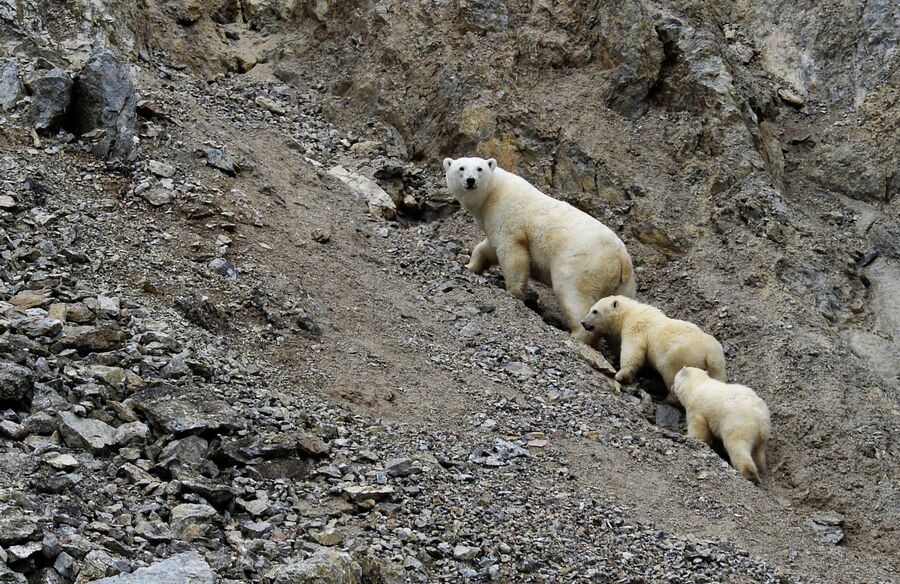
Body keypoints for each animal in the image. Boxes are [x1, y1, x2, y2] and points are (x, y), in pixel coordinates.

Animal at [442, 155, 632, 342]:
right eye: (461, 167)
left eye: (479, 168)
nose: (471, 180)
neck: (493, 192)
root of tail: (621, 257)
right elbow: (488, 248)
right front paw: (470, 265)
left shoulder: (508, 216)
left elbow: (512, 253)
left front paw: (514, 291)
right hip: (623, 284)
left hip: (582, 264)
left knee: (574, 295)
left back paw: (577, 333)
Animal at [580, 294, 728, 394]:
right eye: (591, 309)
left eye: (594, 311)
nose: (583, 322)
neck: (629, 312)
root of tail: (710, 354)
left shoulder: (636, 326)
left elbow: (633, 350)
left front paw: (621, 375)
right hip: (717, 367)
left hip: (680, 357)